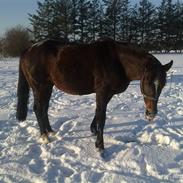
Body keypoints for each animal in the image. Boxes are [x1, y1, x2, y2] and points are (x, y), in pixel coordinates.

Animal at [16, 39, 173, 152]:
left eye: (163, 84)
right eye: (147, 81)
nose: (151, 114)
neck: (118, 61)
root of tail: (28, 50)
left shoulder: (108, 93)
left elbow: (98, 113)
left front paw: (93, 130)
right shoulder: (102, 91)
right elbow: (102, 117)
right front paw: (100, 146)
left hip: (48, 87)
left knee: (44, 108)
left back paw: (50, 131)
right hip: (39, 87)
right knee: (38, 108)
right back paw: (44, 136)